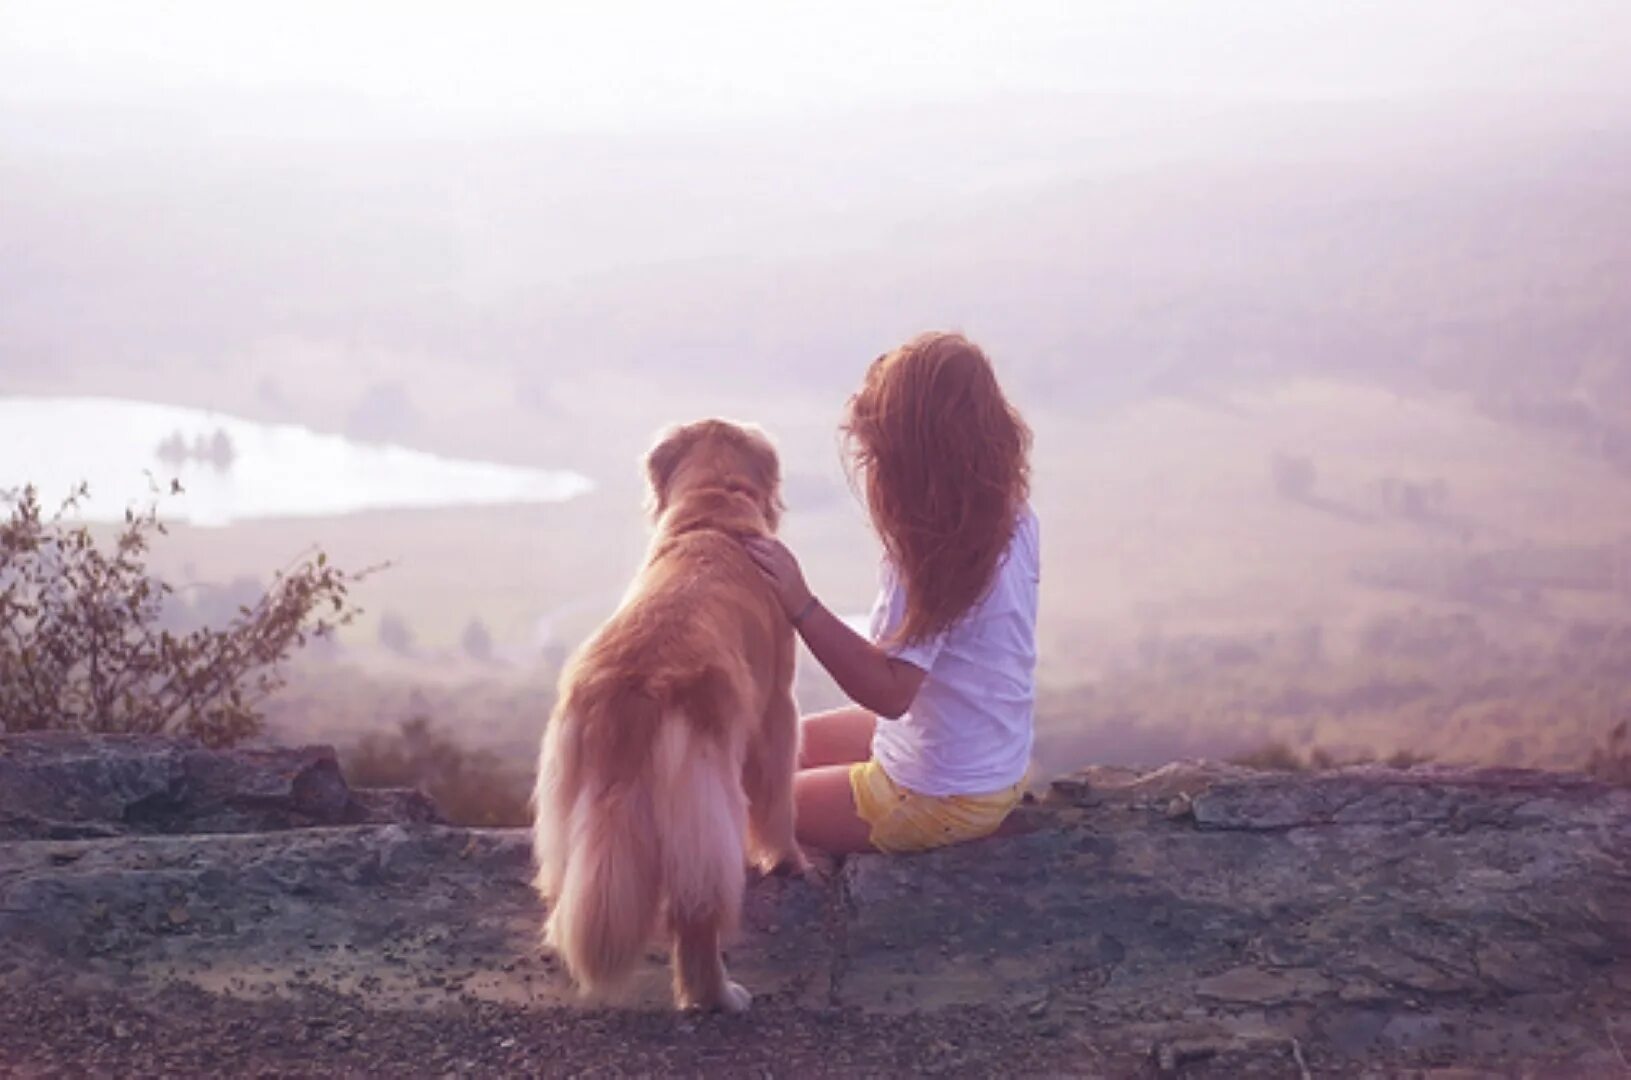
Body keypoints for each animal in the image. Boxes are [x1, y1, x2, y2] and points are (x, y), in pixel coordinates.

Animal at [531, 416, 805, 1018]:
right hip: (705, 804)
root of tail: (632, 689)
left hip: (566, 799)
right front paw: (789, 861)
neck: (712, 516)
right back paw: (719, 995)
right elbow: (778, 799)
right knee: (698, 917)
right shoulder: (777, 709)